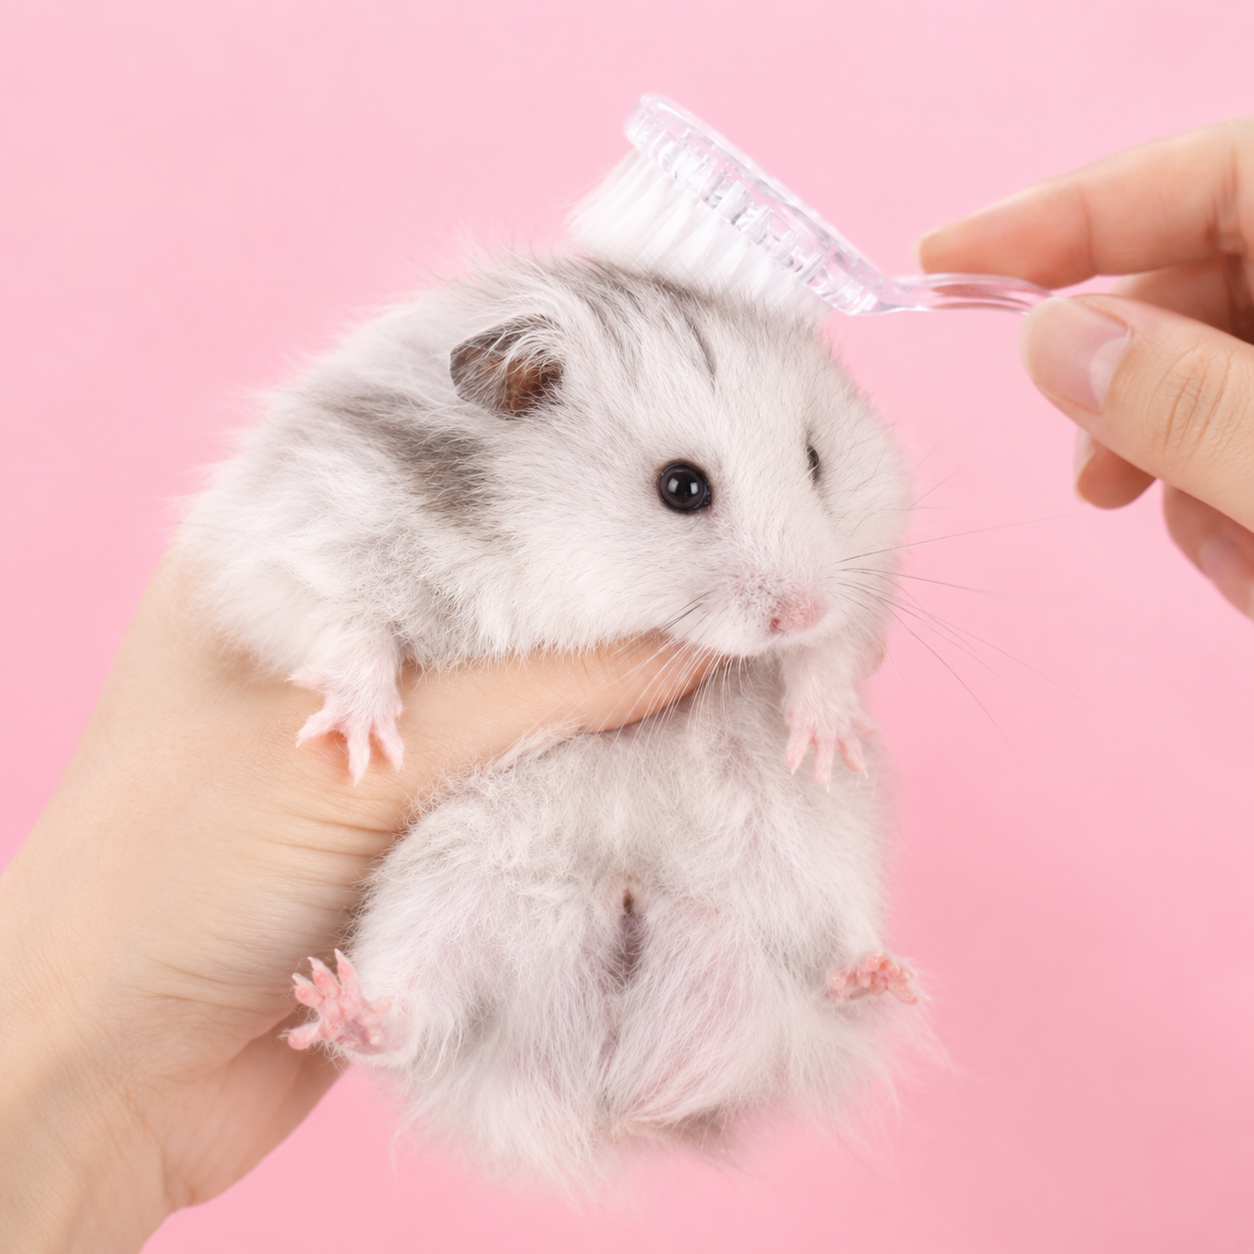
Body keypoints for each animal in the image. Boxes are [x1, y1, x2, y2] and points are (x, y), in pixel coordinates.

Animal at [181, 253, 918, 1184]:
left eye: (816, 458)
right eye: (682, 487)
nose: (800, 608)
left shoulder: (870, 551)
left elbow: (833, 652)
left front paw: (826, 740)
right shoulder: (296, 535)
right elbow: (348, 627)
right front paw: (362, 742)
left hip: (819, 859)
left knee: (834, 960)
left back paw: (878, 974)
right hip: (442, 894)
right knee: (409, 1017)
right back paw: (341, 1004)